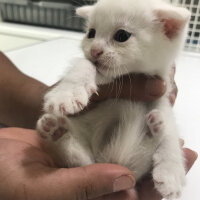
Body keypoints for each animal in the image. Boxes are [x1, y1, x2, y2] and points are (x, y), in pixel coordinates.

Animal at [36, 0, 191, 198]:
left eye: (122, 36)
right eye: (91, 33)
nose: (94, 51)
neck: (128, 76)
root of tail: (109, 159)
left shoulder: (160, 95)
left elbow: (170, 133)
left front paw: (171, 171)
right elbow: (84, 64)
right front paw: (67, 93)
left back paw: (154, 128)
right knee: (82, 161)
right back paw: (57, 133)